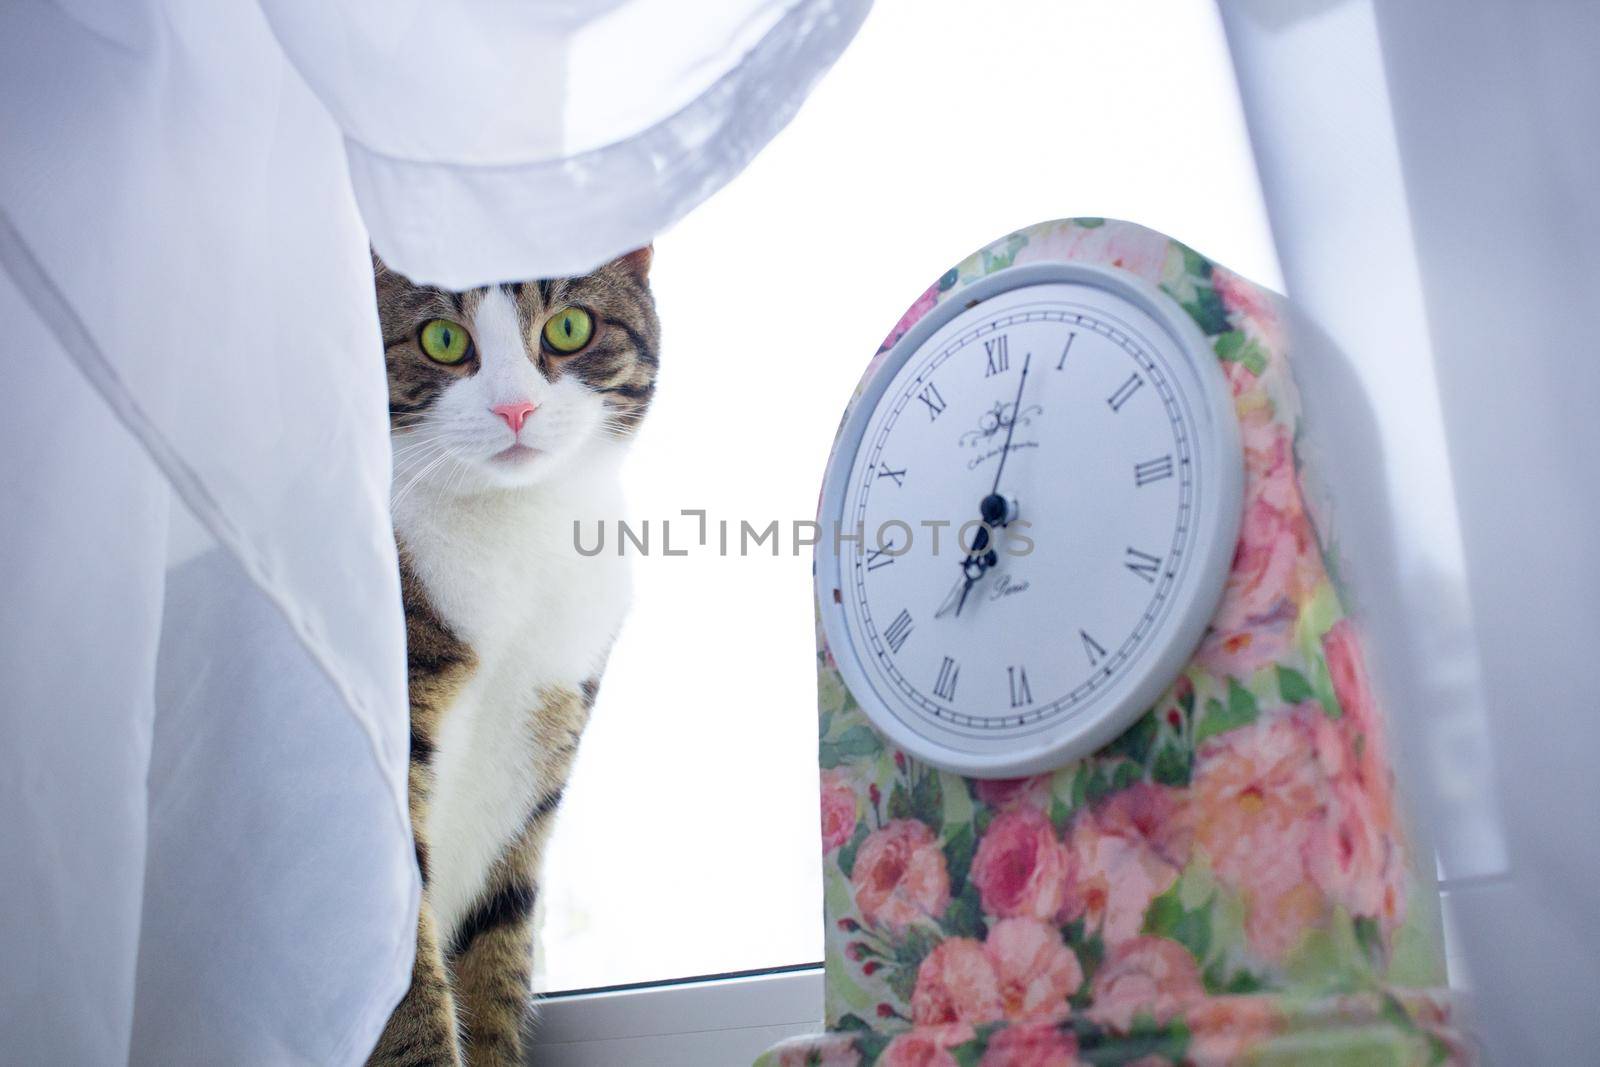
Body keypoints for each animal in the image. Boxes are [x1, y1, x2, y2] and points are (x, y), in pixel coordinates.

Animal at [366, 246, 656, 1062]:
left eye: (569, 327)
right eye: (442, 339)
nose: (515, 409)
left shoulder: (540, 751)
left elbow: (496, 954)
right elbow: (408, 991)